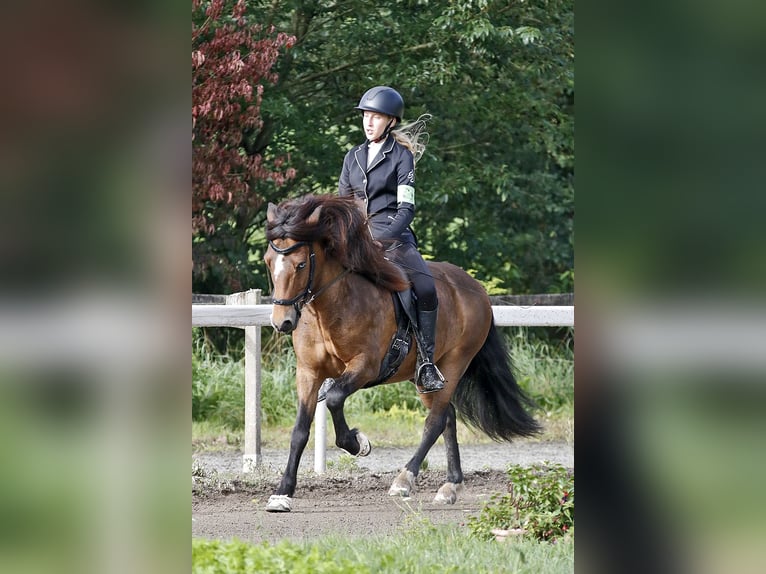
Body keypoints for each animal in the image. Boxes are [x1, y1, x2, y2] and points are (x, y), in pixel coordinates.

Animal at [263, 193, 540, 512]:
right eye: (269, 262)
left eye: (299, 265)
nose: (281, 322)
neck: (333, 305)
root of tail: (476, 288)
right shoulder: (308, 373)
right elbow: (299, 431)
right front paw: (283, 492)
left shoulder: (365, 366)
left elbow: (333, 398)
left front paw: (357, 443)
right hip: (421, 375)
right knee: (447, 416)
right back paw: (450, 486)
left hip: (455, 361)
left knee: (435, 422)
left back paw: (404, 480)